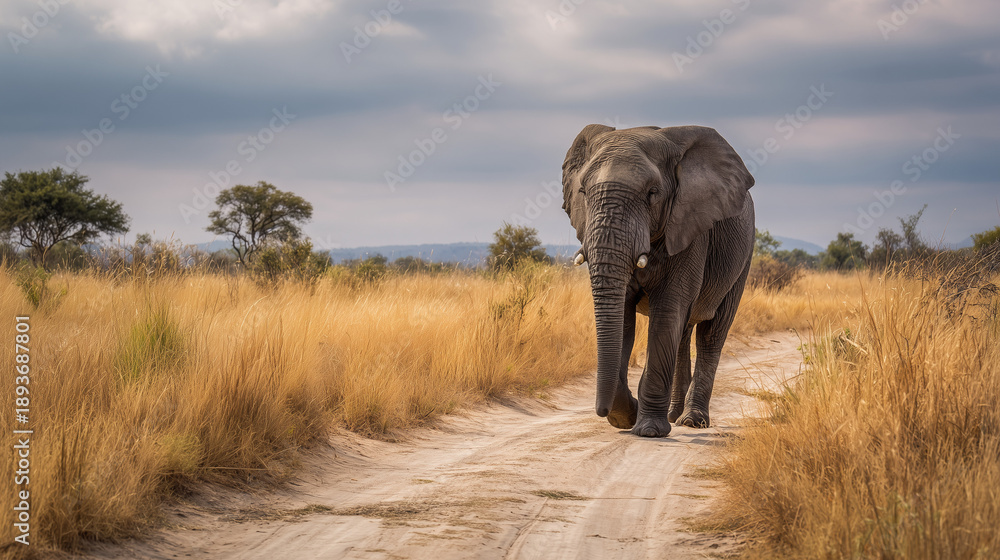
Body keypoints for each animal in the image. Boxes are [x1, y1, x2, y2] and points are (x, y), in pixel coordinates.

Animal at [561, 124, 755, 438]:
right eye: (583, 192)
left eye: (652, 193)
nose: (600, 411)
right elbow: (623, 319)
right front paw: (626, 418)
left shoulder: (691, 229)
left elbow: (666, 313)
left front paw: (649, 430)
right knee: (683, 334)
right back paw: (675, 416)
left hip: (743, 256)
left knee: (711, 334)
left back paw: (692, 421)